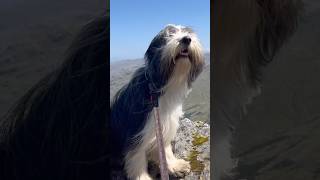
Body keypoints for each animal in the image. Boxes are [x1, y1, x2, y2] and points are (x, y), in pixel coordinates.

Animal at [110, 24, 205, 180]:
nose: (186, 39)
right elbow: (136, 156)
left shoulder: (165, 123)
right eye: (169, 34)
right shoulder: (136, 128)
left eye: (187, 32)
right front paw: (142, 177)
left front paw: (173, 166)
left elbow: (164, 148)